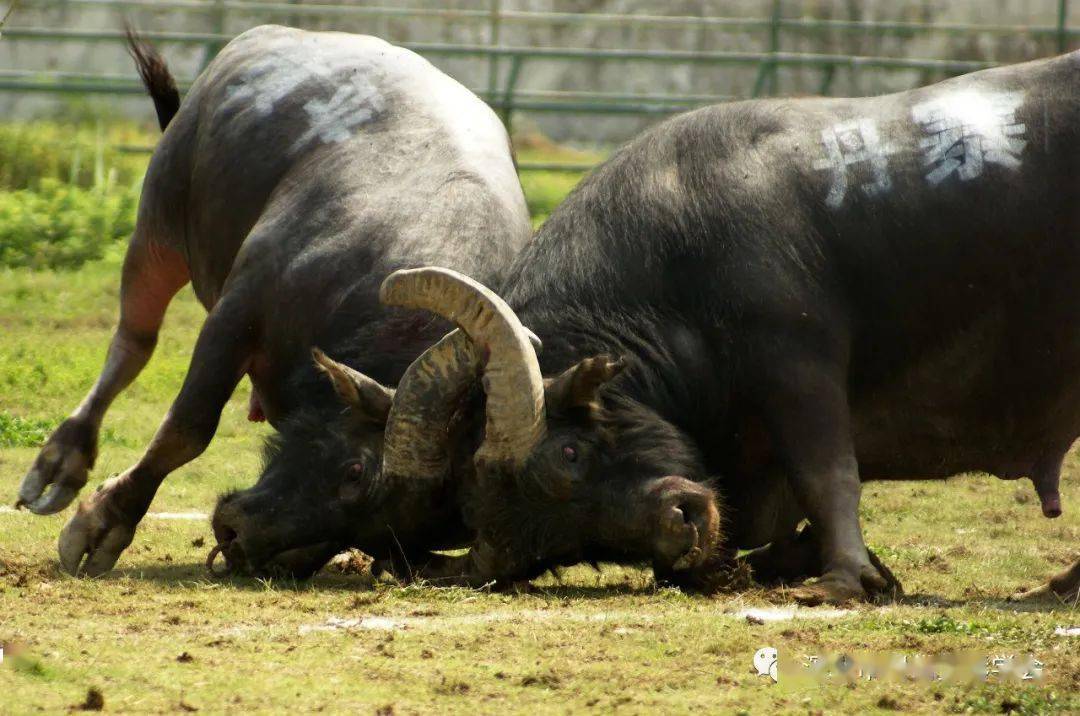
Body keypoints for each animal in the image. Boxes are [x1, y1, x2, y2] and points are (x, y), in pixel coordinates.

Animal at [365, 49, 1080, 604]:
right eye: (571, 545)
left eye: (567, 454)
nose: (680, 528)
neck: (674, 273)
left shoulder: (796, 363)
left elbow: (828, 473)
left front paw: (844, 579)